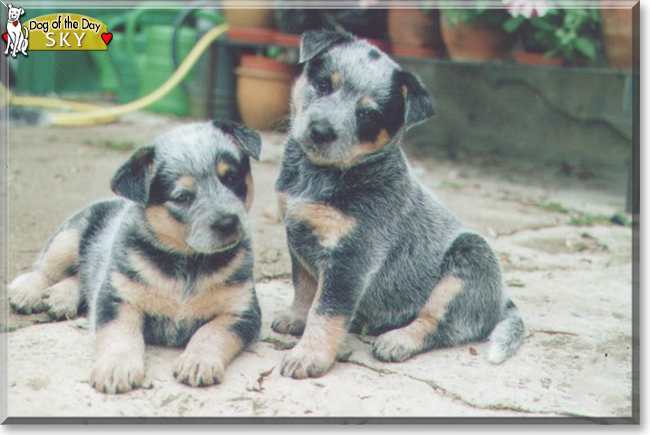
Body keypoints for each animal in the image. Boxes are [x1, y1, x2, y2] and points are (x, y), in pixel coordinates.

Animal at [8, 121, 262, 394]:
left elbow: (211, 331)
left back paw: (61, 297)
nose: (228, 222)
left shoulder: (242, 311)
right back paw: (26, 291)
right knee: (47, 268)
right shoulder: (117, 298)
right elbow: (120, 334)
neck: (188, 262)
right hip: (69, 236)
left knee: (80, 277)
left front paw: (198, 362)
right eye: (182, 197)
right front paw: (116, 368)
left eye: (231, 178)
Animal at [270, 31, 524, 378]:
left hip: (470, 259)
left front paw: (309, 355)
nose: (321, 130)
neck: (320, 175)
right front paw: (296, 317)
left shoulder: (352, 257)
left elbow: (326, 311)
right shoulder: (297, 231)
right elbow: (304, 285)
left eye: (368, 113)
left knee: (440, 322)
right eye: (323, 85)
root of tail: (502, 300)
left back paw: (398, 340)